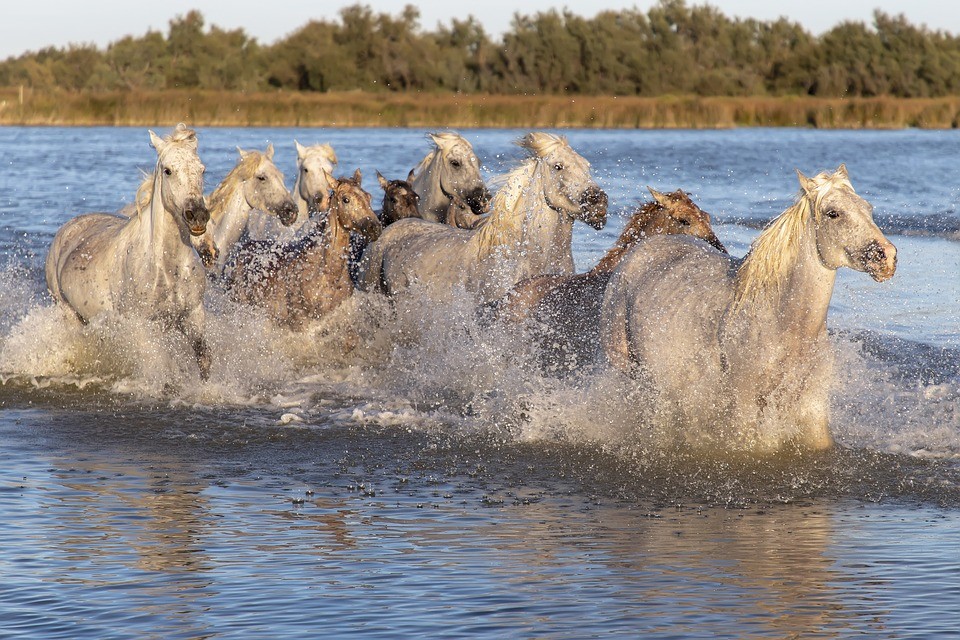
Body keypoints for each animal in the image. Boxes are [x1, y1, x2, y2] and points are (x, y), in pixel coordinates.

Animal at [44, 124, 213, 378]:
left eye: (202, 170)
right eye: (168, 171)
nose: (198, 216)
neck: (166, 267)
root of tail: (68, 228)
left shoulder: (194, 315)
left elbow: (204, 359)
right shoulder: (143, 326)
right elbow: (161, 365)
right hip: (68, 312)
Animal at [600, 165, 897, 453]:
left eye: (868, 208)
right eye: (833, 213)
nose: (886, 258)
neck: (784, 321)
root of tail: (642, 249)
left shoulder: (811, 406)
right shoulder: (744, 404)